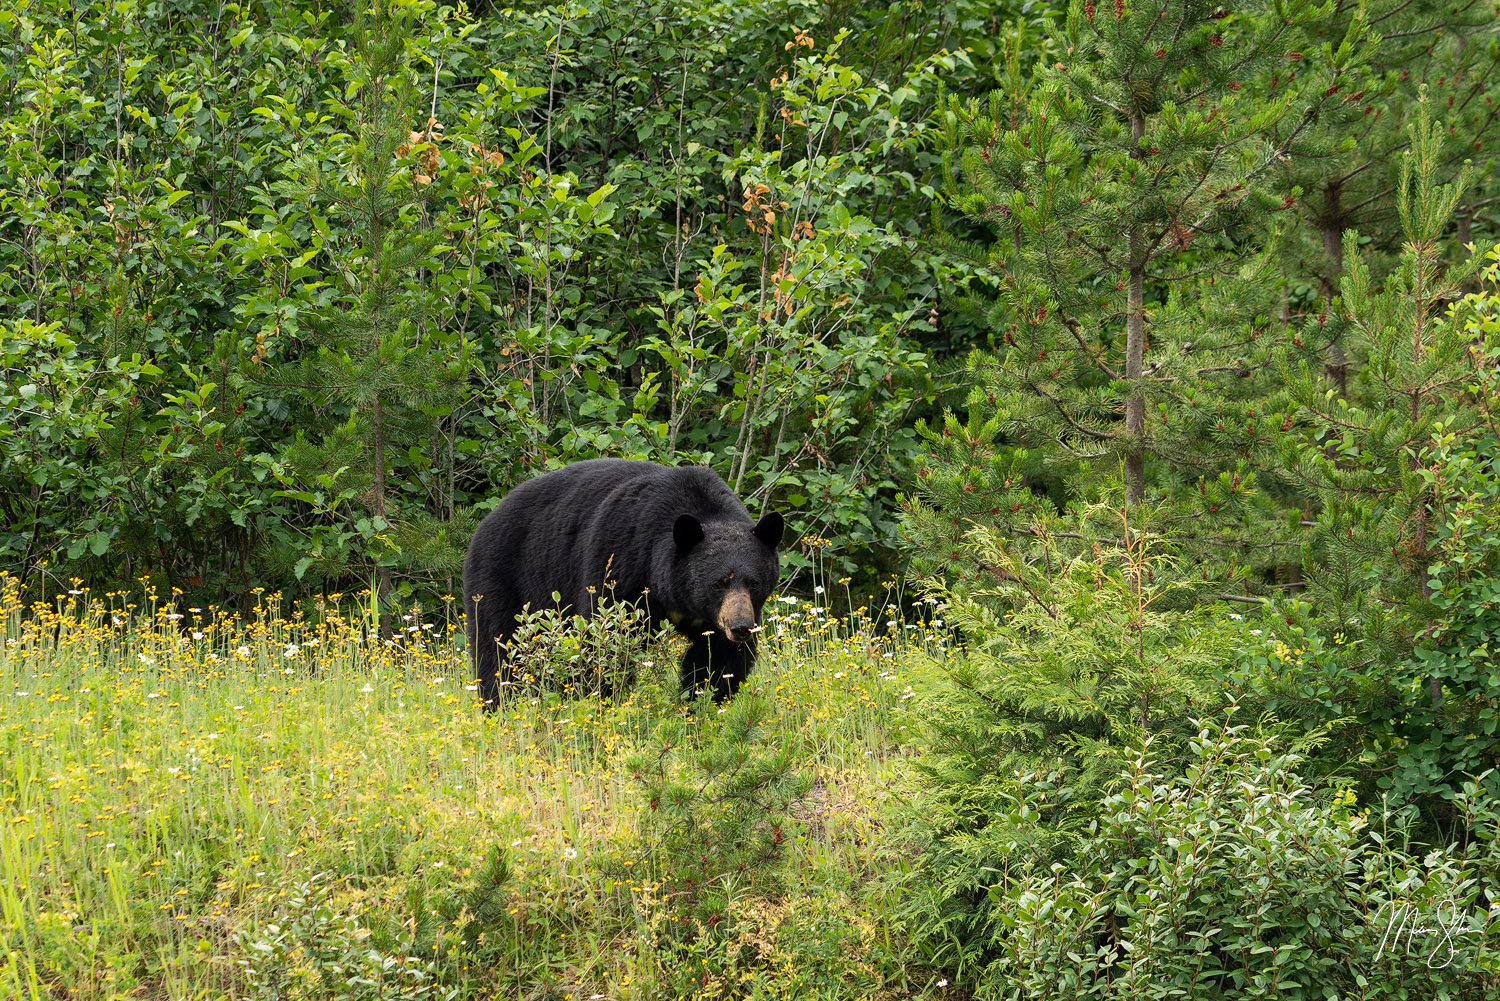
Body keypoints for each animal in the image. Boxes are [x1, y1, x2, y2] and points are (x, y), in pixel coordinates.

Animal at [459, 459, 786, 708]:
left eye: (753, 582)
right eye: (719, 583)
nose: (741, 627)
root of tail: (485, 522)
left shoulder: (715, 619)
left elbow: (718, 660)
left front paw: (702, 706)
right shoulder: (621, 560)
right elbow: (605, 642)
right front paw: (604, 699)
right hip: (503, 578)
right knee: (498, 649)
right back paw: (499, 706)